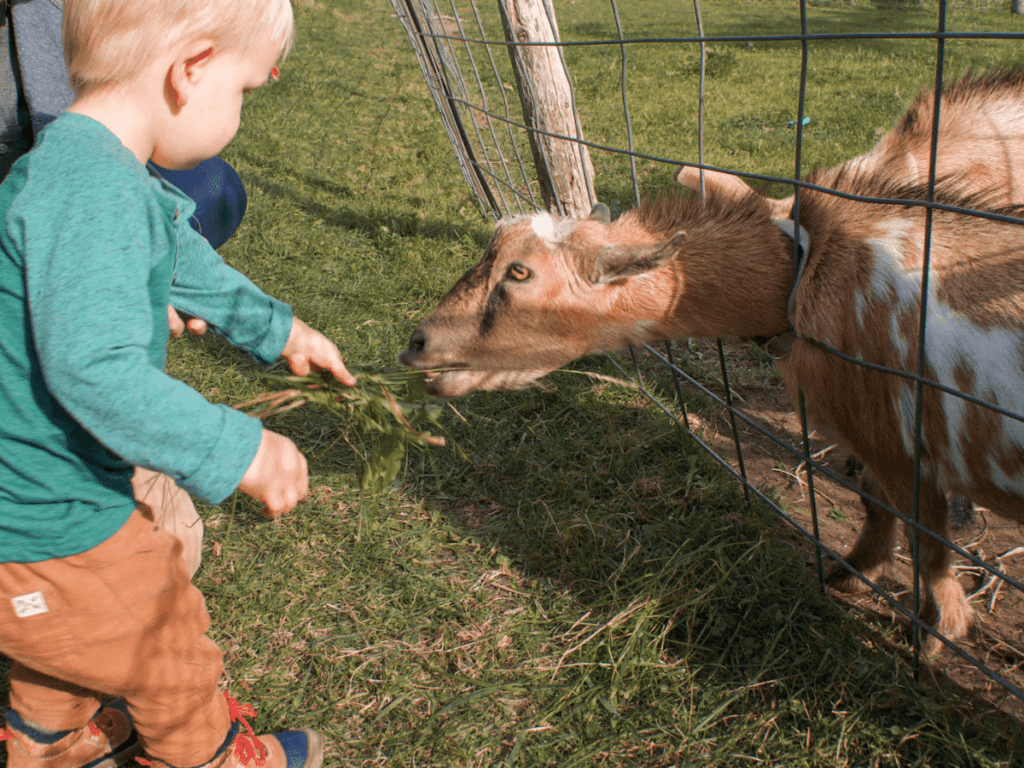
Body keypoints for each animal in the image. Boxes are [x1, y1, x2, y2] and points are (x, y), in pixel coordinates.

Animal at [399, 70, 1024, 653]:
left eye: (520, 272)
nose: (416, 344)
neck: (810, 268)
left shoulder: (898, 440)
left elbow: (925, 533)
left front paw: (937, 627)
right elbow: (880, 504)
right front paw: (851, 574)